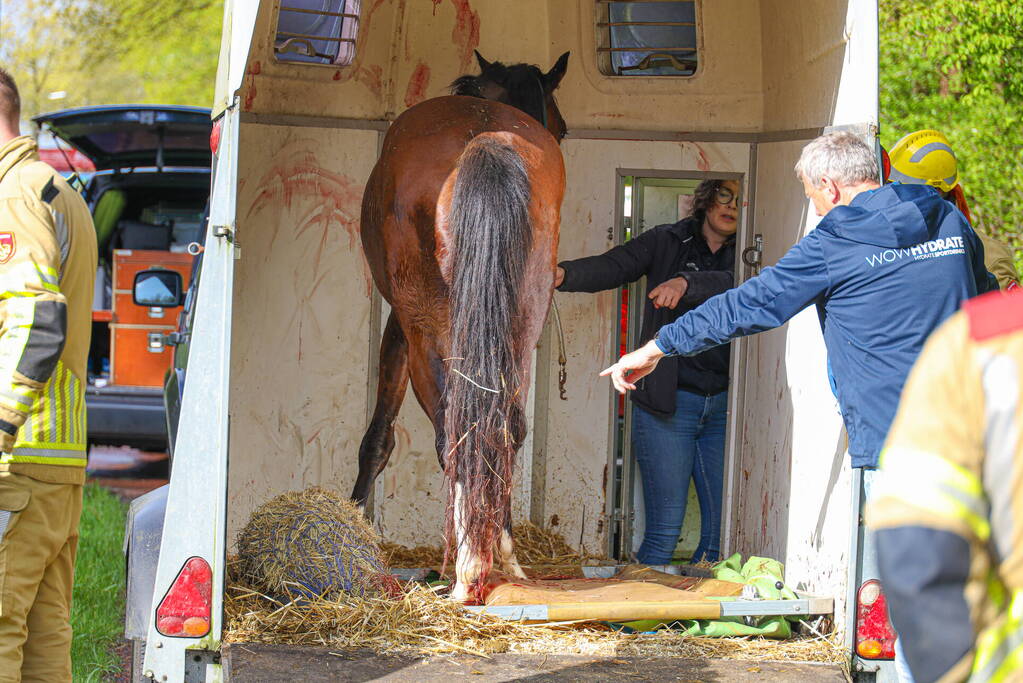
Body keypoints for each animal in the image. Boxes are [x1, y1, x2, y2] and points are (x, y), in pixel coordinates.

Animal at [351, 50, 569, 601]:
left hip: (427, 327)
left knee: (453, 427)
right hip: (522, 324)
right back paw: (501, 554)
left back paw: (469, 563)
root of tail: (483, 140)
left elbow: (378, 437)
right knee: (504, 425)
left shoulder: (399, 328)